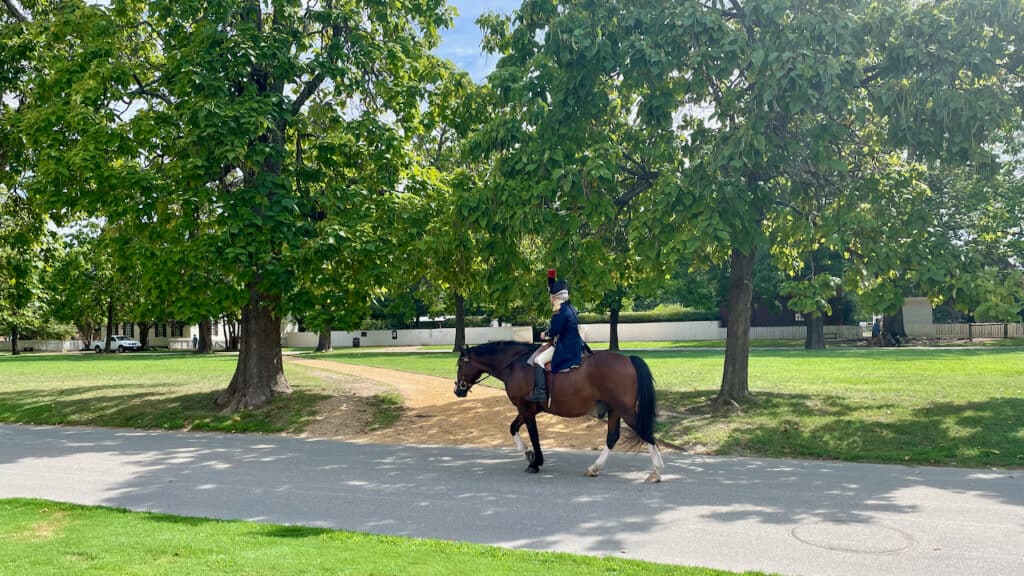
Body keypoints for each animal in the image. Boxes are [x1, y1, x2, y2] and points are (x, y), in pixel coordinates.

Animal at [454, 338, 663, 481]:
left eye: (460, 363)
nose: (458, 390)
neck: (514, 363)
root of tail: (628, 360)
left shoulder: (525, 408)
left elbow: (533, 434)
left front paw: (535, 461)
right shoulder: (529, 409)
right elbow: (513, 428)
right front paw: (528, 454)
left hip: (625, 410)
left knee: (645, 431)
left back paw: (657, 471)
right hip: (614, 410)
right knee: (612, 437)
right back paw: (594, 468)